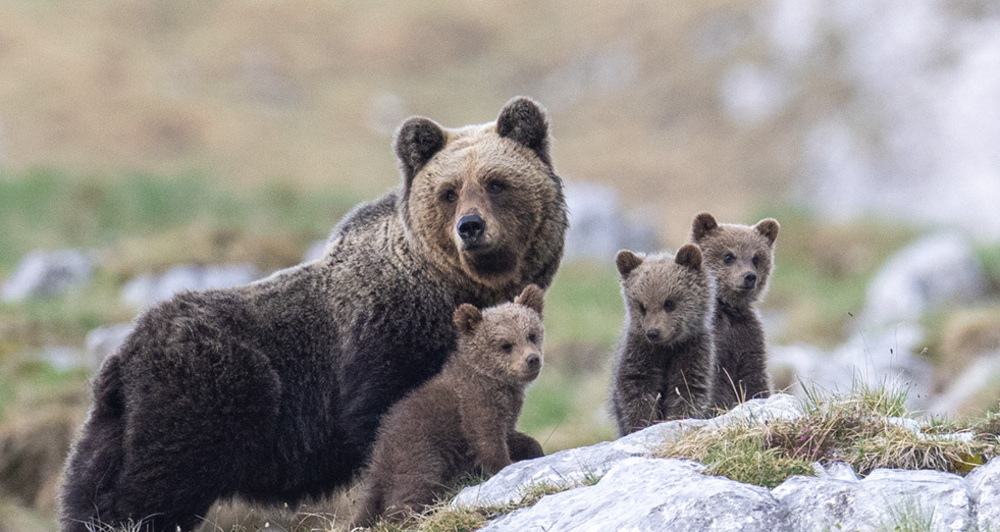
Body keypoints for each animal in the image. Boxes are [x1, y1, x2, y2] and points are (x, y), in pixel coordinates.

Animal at [357, 284, 546, 526]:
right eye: (505, 344)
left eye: (531, 334)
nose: (532, 359)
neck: (495, 381)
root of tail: (377, 460)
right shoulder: (476, 404)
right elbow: (487, 441)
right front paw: (504, 465)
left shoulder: (506, 412)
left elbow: (513, 436)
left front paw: (533, 449)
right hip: (419, 452)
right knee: (411, 490)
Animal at [610, 244, 716, 436]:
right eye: (642, 306)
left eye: (669, 303)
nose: (653, 332)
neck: (667, 348)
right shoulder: (640, 352)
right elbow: (636, 390)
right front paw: (642, 424)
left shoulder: (692, 350)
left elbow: (686, 390)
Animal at [690, 212, 779, 411]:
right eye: (729, 256)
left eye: (756, 258)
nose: (749, 276)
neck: (728, 309)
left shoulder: (748, 337)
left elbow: (754, 377)